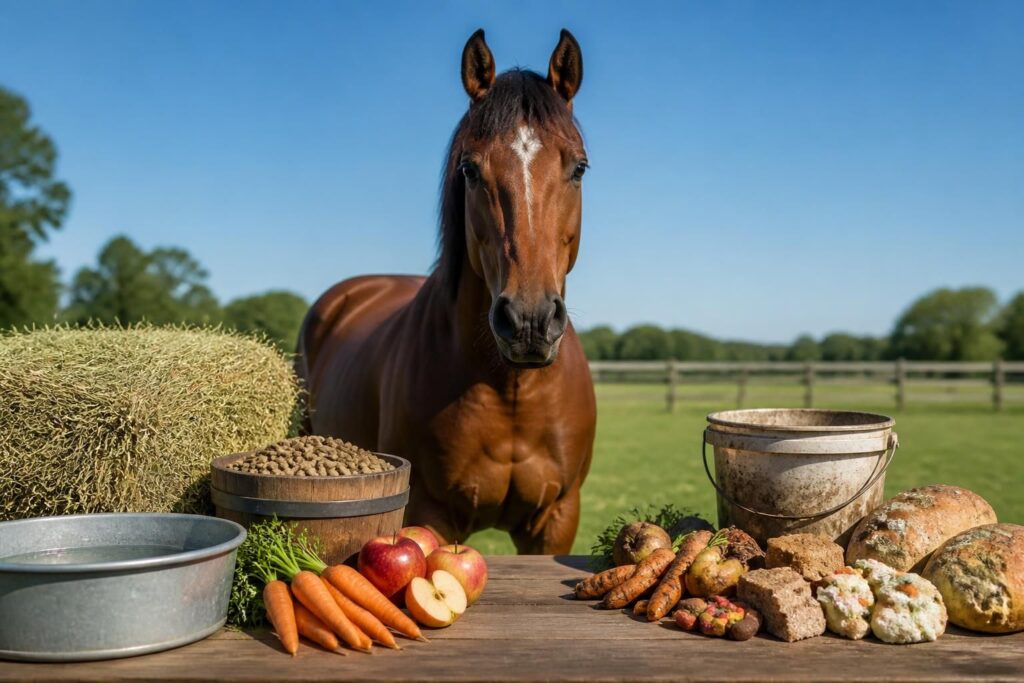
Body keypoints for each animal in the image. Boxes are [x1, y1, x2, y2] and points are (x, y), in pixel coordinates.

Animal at [296, 29, 596, 554]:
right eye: (470, 170)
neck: (511, 389)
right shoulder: (429, 510)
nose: (530, 321)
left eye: (579, 167)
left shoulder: (557, 518)